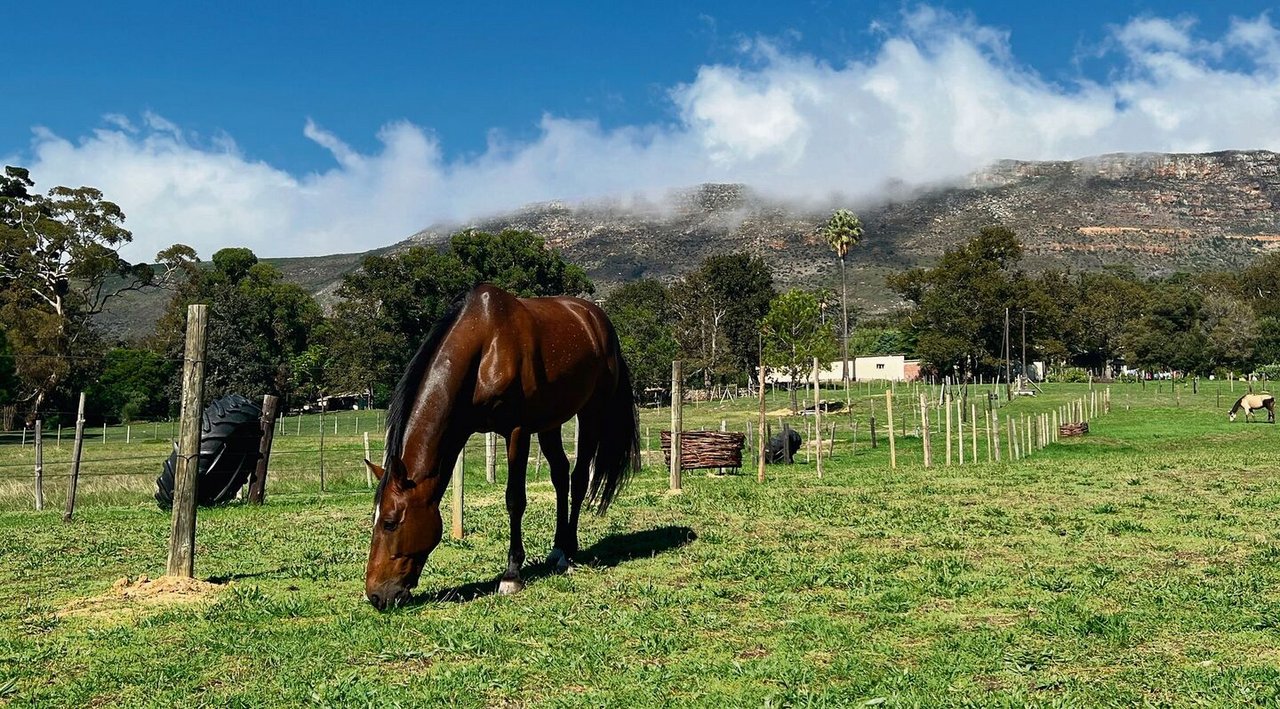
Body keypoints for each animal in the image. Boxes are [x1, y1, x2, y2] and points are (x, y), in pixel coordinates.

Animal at [360, 281, 640, 606]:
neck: (485, 347)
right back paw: (557, 549)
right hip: (551, 422)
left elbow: (515, 499)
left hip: (590, 412)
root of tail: (597, 319)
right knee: (560, 475)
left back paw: (569, 552)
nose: (376, 595)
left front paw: (511, 575)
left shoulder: (517, 431)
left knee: (579, 478)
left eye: (390, 522)